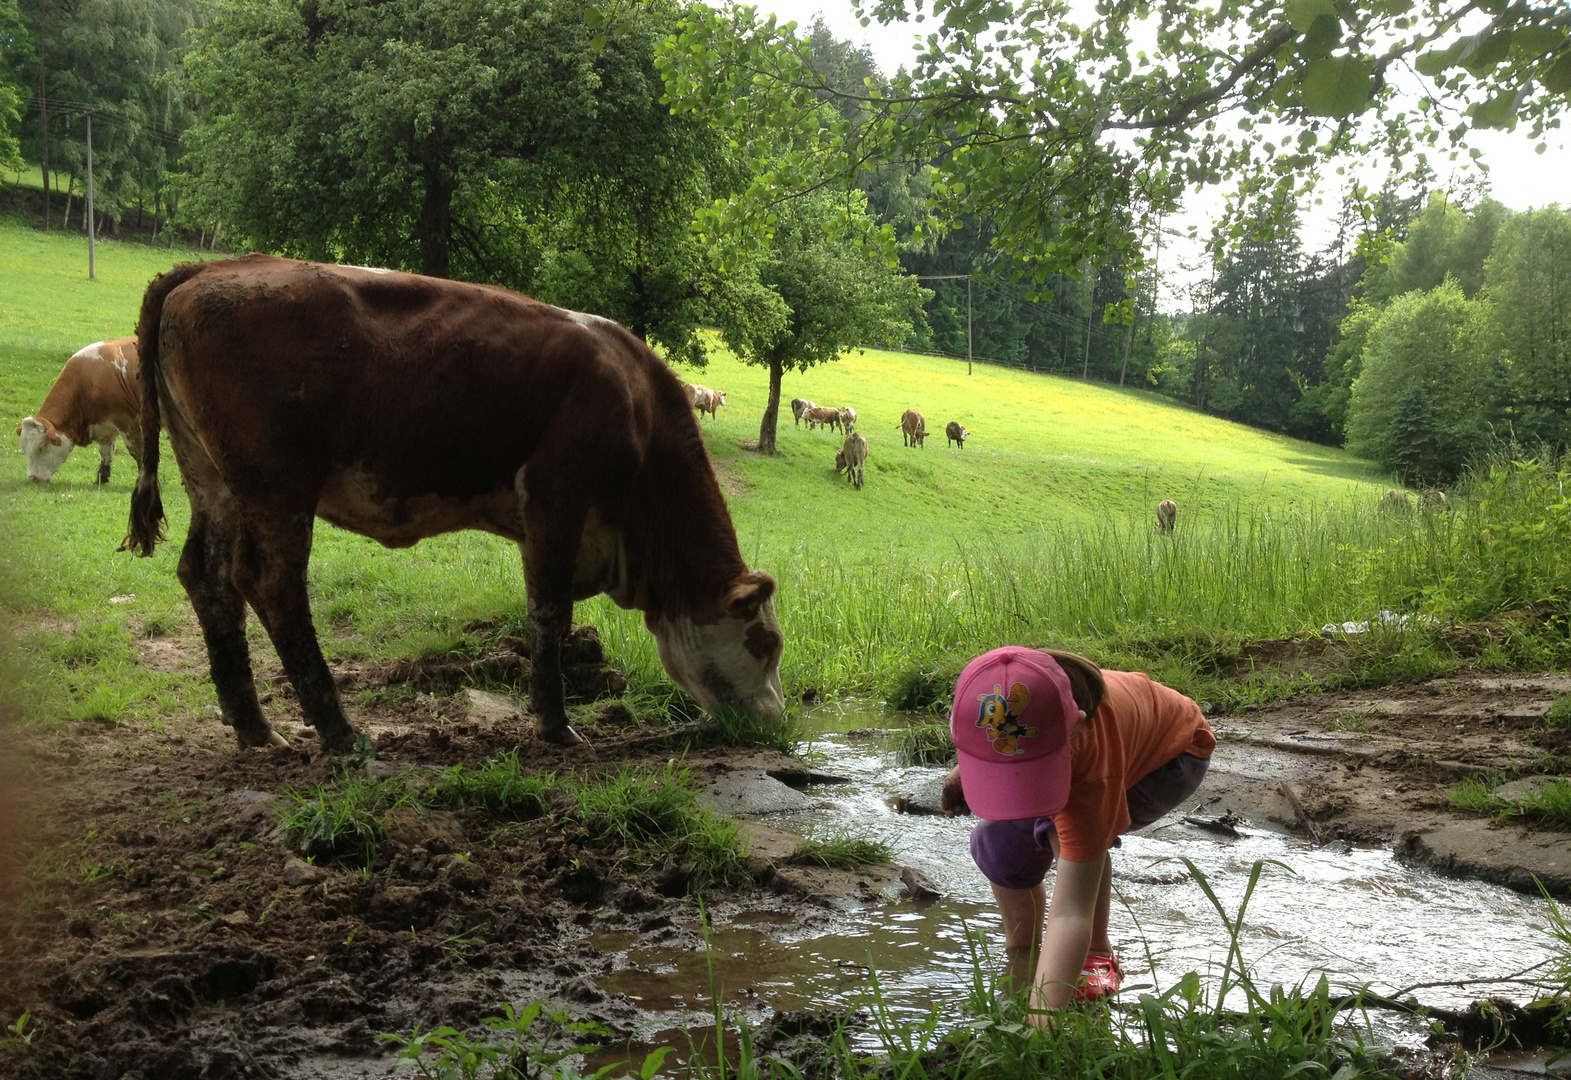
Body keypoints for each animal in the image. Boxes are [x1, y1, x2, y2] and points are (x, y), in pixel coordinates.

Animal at [19, 339, 143, 484]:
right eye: (25, 449)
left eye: (42, 446)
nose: (33, 478)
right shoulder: (105, 425)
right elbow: (106, 451)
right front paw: (101, 479)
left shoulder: (126, 420)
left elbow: (137, 450)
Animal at [122, 257, 785, 757]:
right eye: (769, 645)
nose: (777, 719)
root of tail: (215, 267)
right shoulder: (555, 496)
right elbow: (550, 613)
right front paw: (557, 727)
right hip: (276, 483)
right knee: (271, 582)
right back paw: (339, 731)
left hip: (212, 480)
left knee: (207, 578)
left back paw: (256, 728)